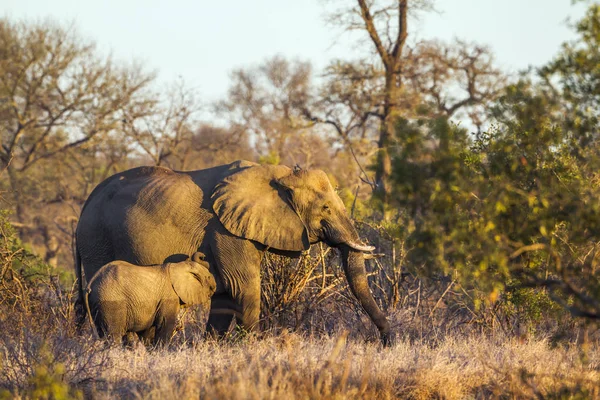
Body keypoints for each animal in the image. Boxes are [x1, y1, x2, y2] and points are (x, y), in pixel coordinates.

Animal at [84, 252, 216, 346]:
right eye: (208, 277)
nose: (203, 256)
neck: (178, 266)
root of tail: (90, 284)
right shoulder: (168, 298)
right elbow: (165, 324)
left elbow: (148, 331)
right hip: (110, 302)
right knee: (113, 335)